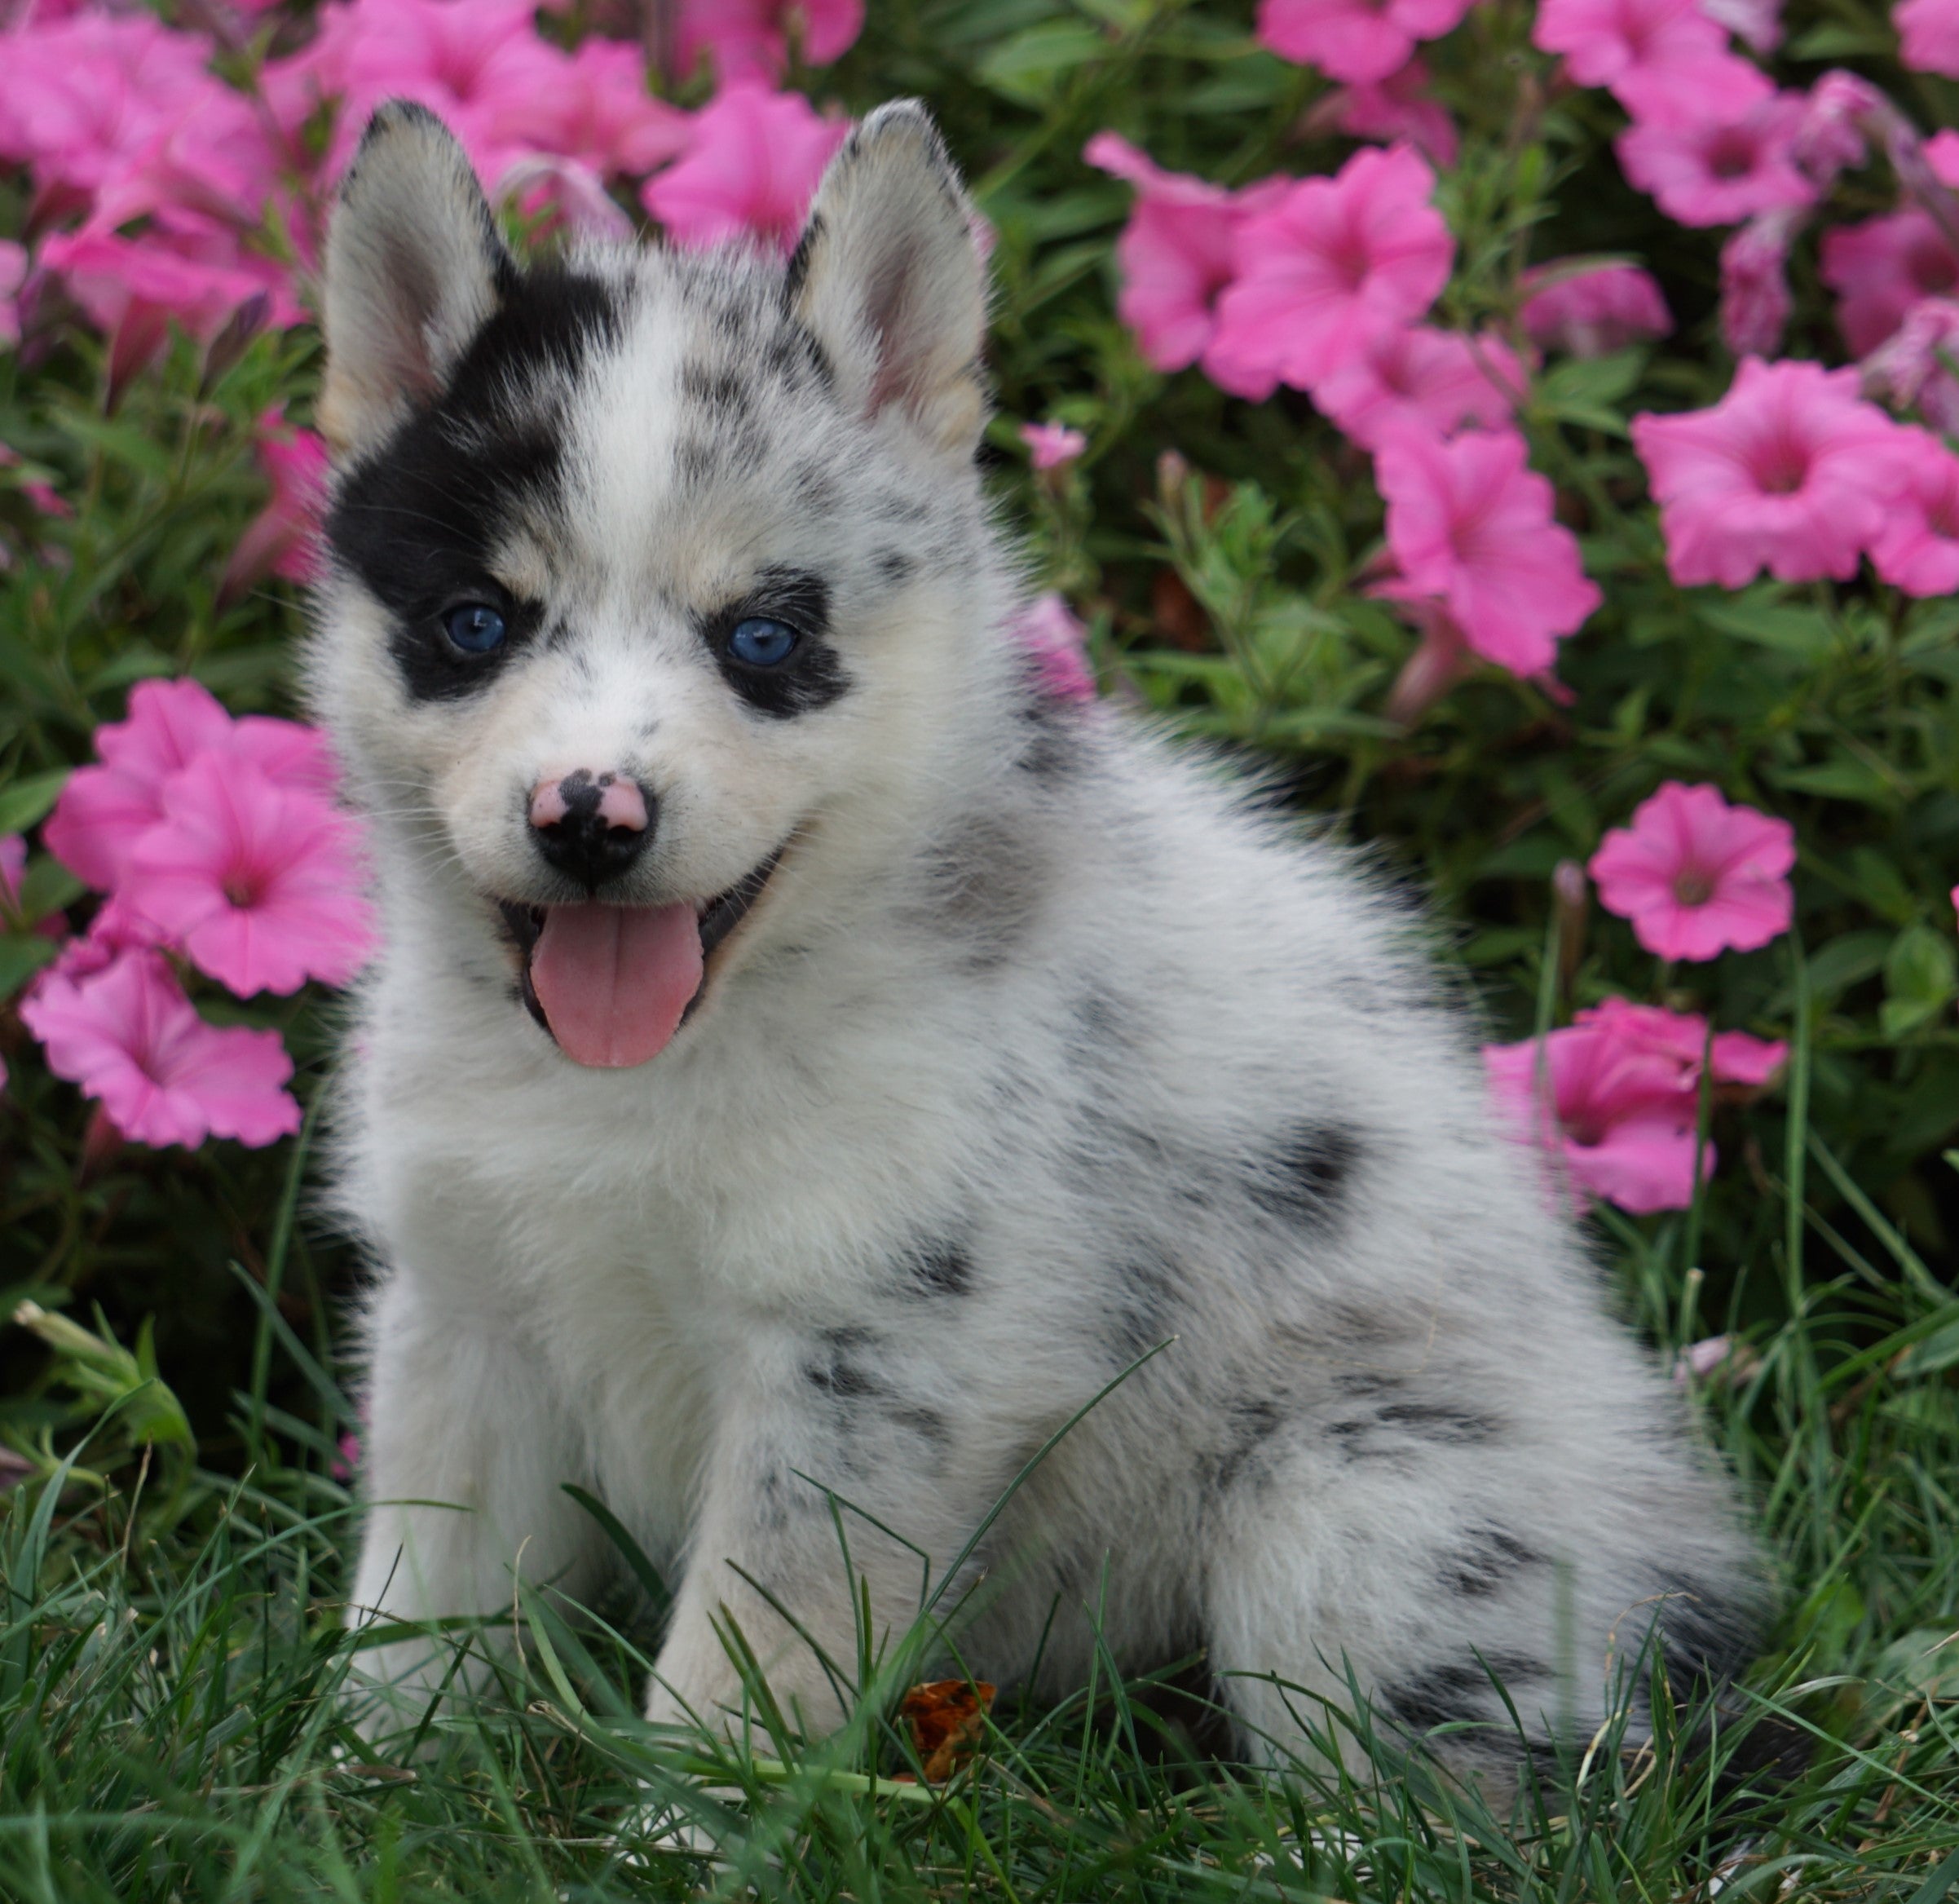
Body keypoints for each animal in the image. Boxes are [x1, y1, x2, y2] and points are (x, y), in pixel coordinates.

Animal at [309, 100, 1763, 1786]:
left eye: (764, 639)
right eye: (475, 624)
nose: (589, 819)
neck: (645, 1073)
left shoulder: (863, 1363)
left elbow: (739, 1670)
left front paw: (690, 1824)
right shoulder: (462, 1316)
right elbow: (414, 1615)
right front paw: (344, 1787)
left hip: (1360, 1507)